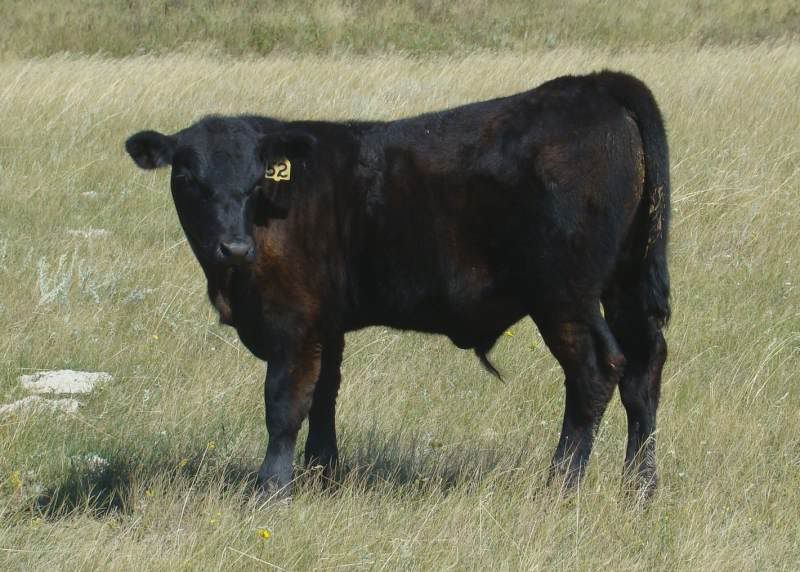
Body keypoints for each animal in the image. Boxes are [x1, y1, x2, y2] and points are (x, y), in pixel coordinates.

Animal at [125, 70, 670, 498]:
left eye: (258, 179)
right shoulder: (327, 324)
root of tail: (594, 84)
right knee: (643, 372)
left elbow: (285, 404)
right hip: (624, 284)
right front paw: (323, 476)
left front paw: (270, 490)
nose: (234, 248)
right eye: (187, 178)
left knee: (596, 373)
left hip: (565, 297)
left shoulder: (293, 321)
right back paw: (639, 488)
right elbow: (325, 395)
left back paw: (560, 485)